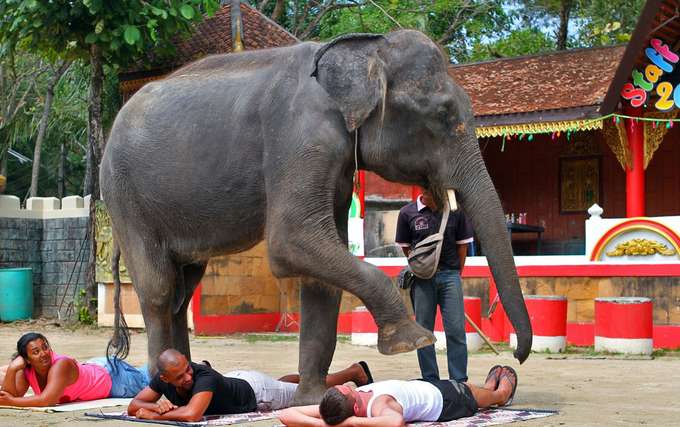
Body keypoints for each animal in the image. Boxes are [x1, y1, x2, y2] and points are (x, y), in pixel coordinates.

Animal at [100, 29, 532, 404]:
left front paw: (311, 400)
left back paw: (188, 374)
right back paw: (165, 392)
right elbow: (292, 241)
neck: (367, 51)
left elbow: (321, 270)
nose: (516, 358)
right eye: (443, 114)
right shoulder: (302, 136)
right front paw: (414, 339)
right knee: (158, 289)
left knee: (182, 290)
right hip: (125, 198)